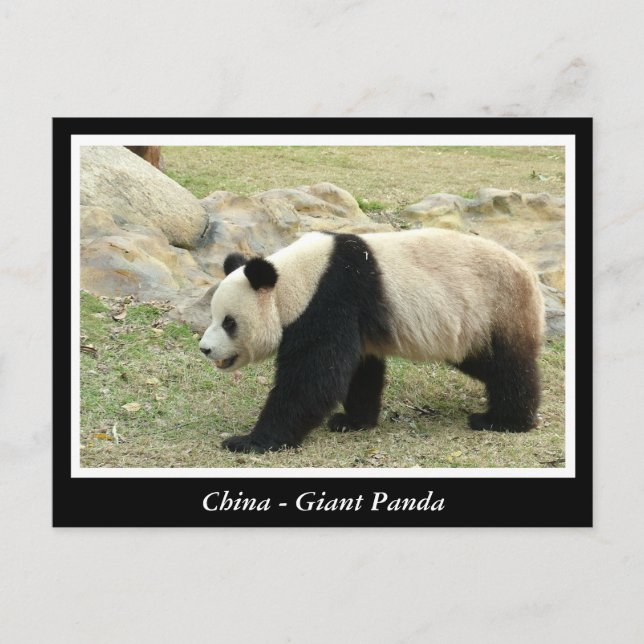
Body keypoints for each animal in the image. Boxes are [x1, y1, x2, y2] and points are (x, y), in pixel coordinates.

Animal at [199, 229, 544, 453]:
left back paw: (503, 420)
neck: (295, 279)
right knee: (484, 364)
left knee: (508, 367)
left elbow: (313, 379)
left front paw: (249, 441)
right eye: (213, 316)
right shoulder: (353, 319)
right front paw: (352, 421)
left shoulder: (331, 298)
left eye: (229, 322)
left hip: (496, 307)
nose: (205, 349)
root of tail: (530, 275)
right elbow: (358, 372)